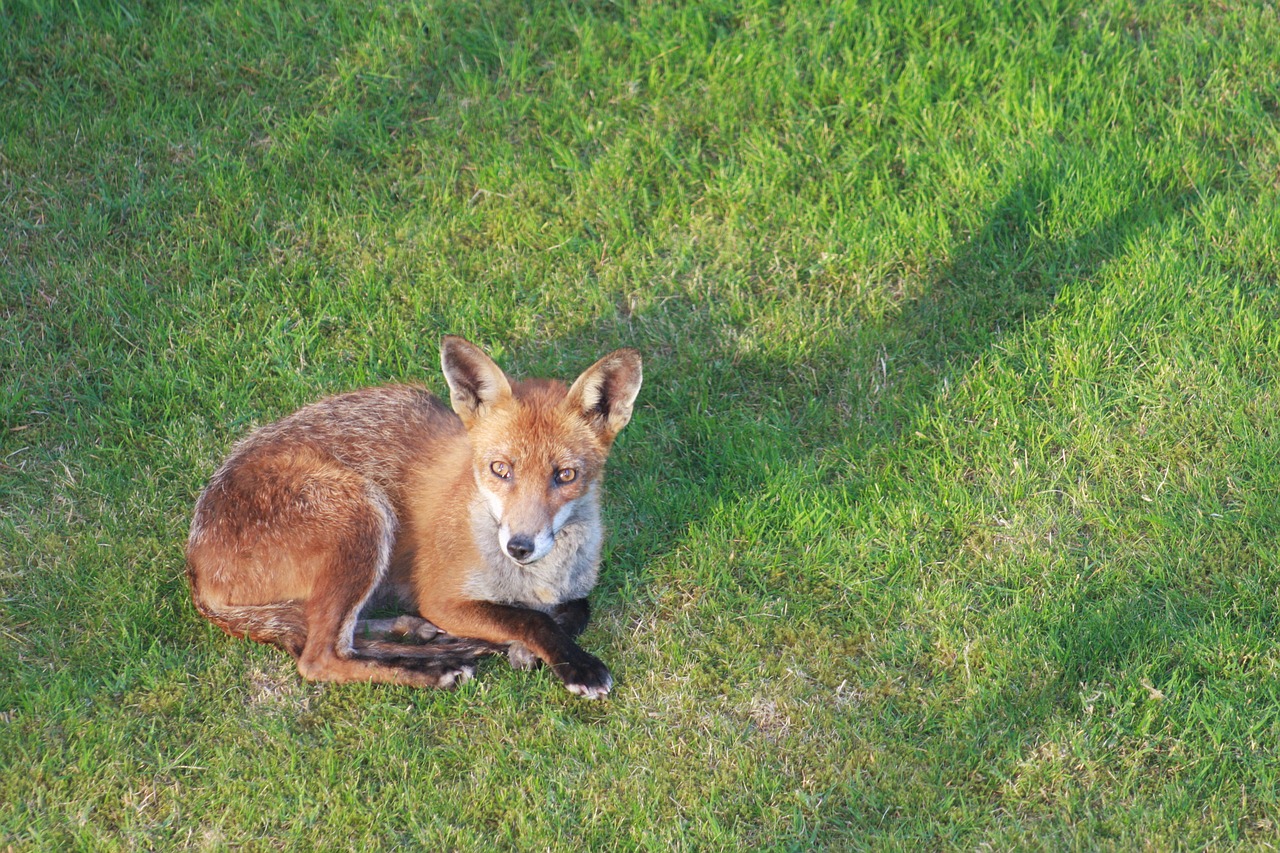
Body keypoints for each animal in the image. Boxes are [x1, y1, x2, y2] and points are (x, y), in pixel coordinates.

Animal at [183, 335, 640, 696]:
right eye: (500, 469)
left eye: (565, 475)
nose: (520, 546)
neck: (533, 581)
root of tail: (195, 566)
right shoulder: (441, 598)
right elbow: (528, 619)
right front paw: (573, 663)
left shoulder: (571, 590)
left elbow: (576, 609)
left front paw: (531, 646)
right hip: (363, 515)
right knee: (318, 656)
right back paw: (433, 669)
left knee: (327, 635)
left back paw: (415, 634)